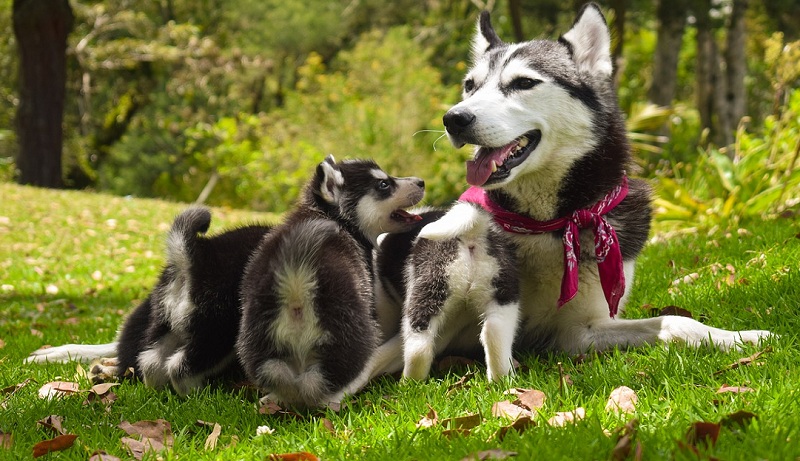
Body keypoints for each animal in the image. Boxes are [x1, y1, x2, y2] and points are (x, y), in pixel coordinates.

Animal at [236, 155, 424, 406]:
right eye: (383, 184)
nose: (421, 182)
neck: (330, 215)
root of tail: (297, 282)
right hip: (353, 334)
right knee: (321, 380)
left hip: (258, 343)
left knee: (278, 375)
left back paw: (274, 398)